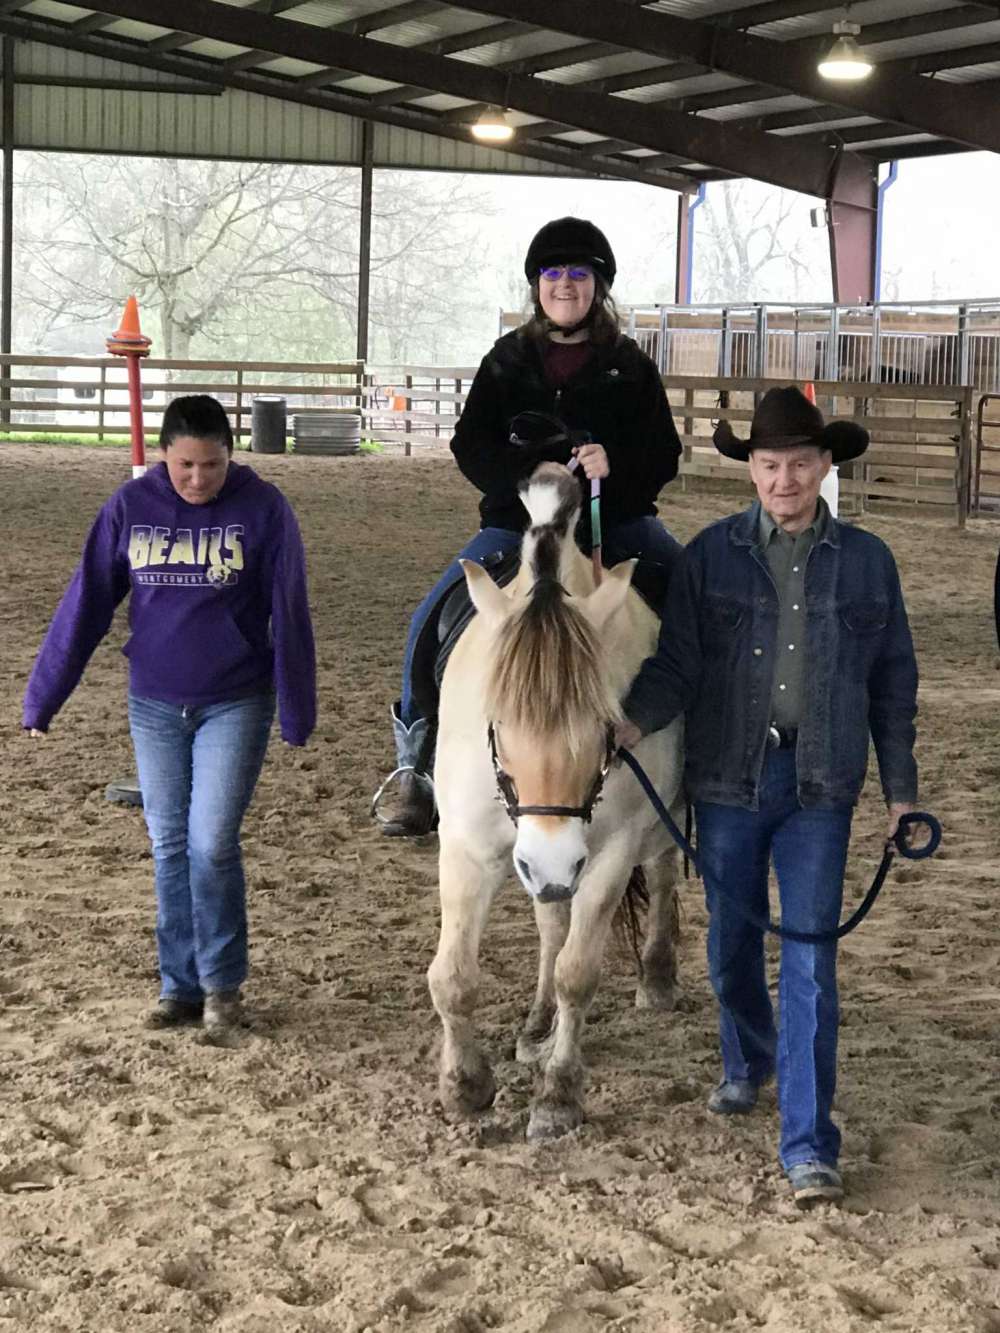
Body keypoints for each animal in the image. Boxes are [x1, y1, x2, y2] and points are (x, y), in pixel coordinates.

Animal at [426, 463, 688, 1141]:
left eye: (604, 724)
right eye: (496, 721)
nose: (549, 860)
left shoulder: (608, 855)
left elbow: (579, 972)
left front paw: (558, 1095)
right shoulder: (468, 847)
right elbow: (452, 977)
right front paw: (465, 1086)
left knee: (663, 875)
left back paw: (657, 976)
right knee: (550, 923)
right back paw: (537, 1023)